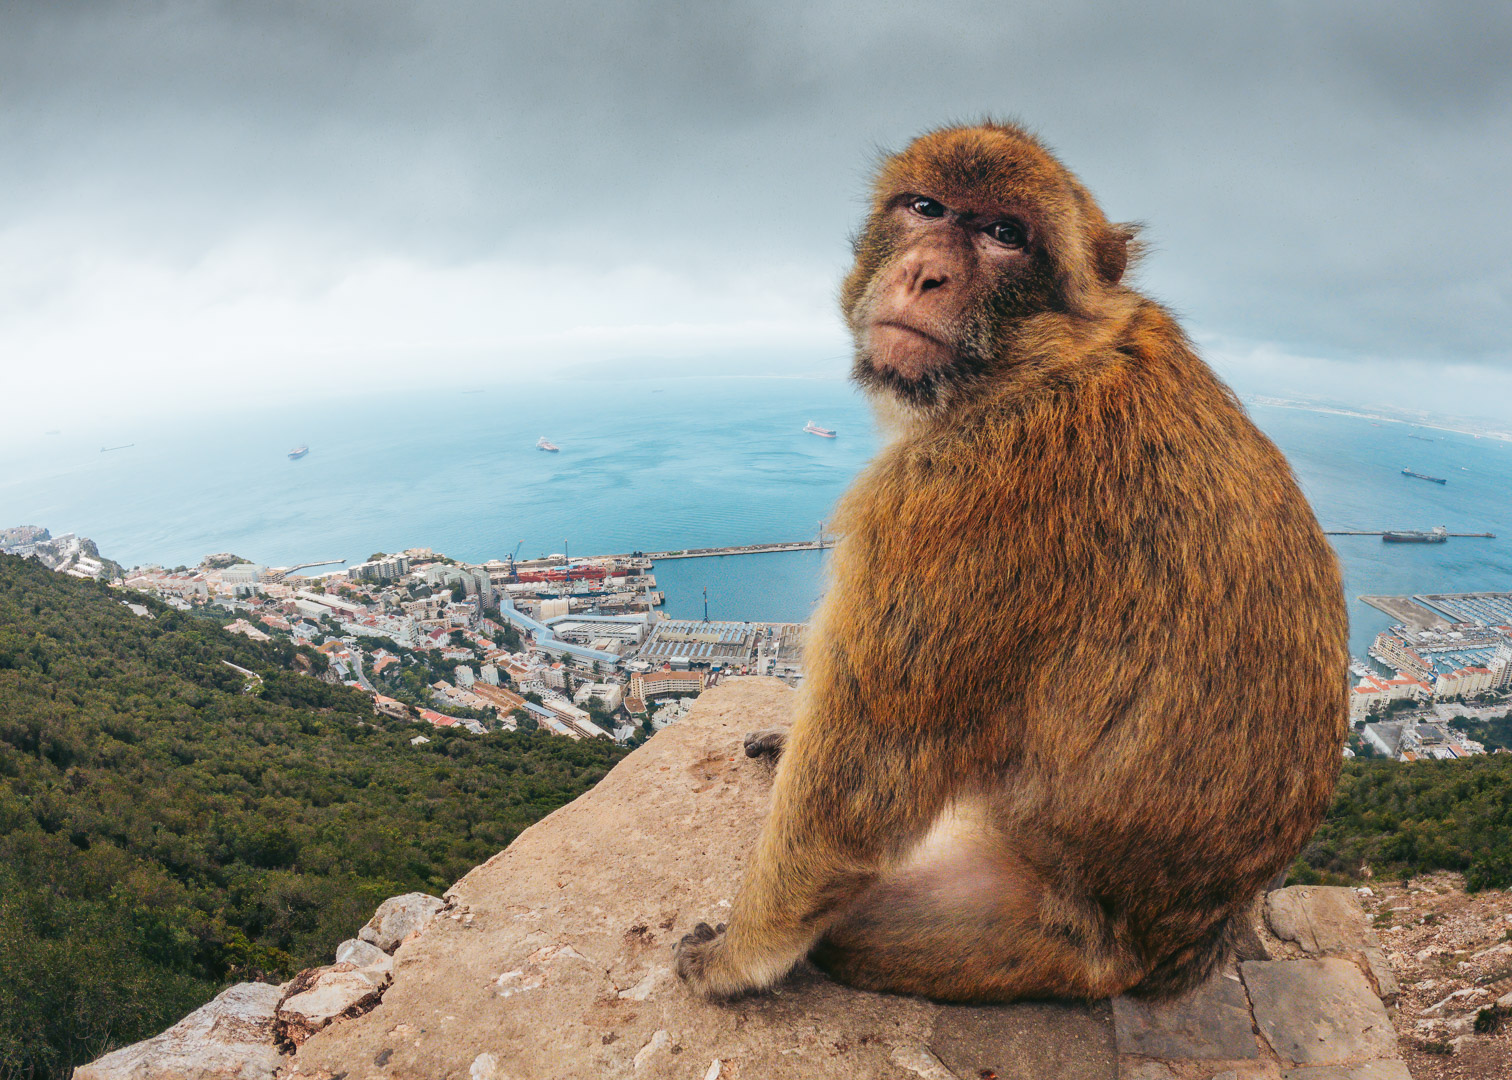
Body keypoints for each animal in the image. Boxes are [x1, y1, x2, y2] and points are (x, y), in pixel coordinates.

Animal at [674, 120, 1348, 998]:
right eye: (926, 208)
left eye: (1004, 234)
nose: (925, 271)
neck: (1041, 362)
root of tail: (1178, 955)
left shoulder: (945, 498)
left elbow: (857, 793)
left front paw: (734, 958)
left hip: (1033, 940)